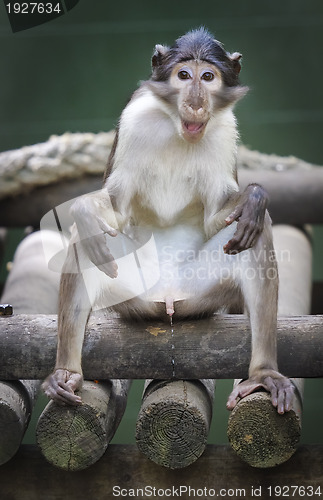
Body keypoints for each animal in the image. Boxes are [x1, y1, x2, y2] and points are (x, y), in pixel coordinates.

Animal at [43, 27, 296, 414]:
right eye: (184, 75)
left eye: (207, 77)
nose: (195, 102)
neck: (178, 128)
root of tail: (167, 297)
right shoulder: (135, 115)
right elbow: (114, 207)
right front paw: (84, 210)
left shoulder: (225, 128)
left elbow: (220, 216)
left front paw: (255, 197)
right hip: (133, 293)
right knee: (87, 239)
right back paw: (66, 373)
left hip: (198, 291)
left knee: (255, 232)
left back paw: (264, 373)